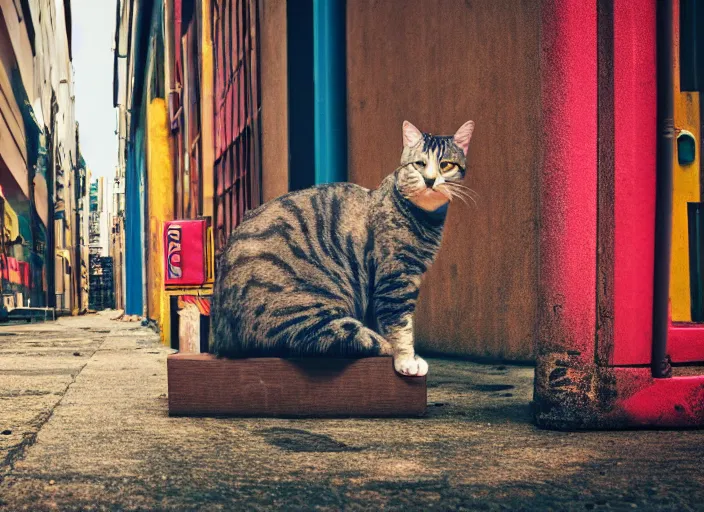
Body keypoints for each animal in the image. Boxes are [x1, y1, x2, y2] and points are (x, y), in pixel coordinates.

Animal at [209, 120, 472, 376]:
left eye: (446, 165)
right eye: (419, 164)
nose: (430, 180)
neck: (424, 217)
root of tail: (221, 338)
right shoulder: (395, 278)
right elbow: (400, 325)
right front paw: (406, 359)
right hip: (304, 311)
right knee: (350, 337)